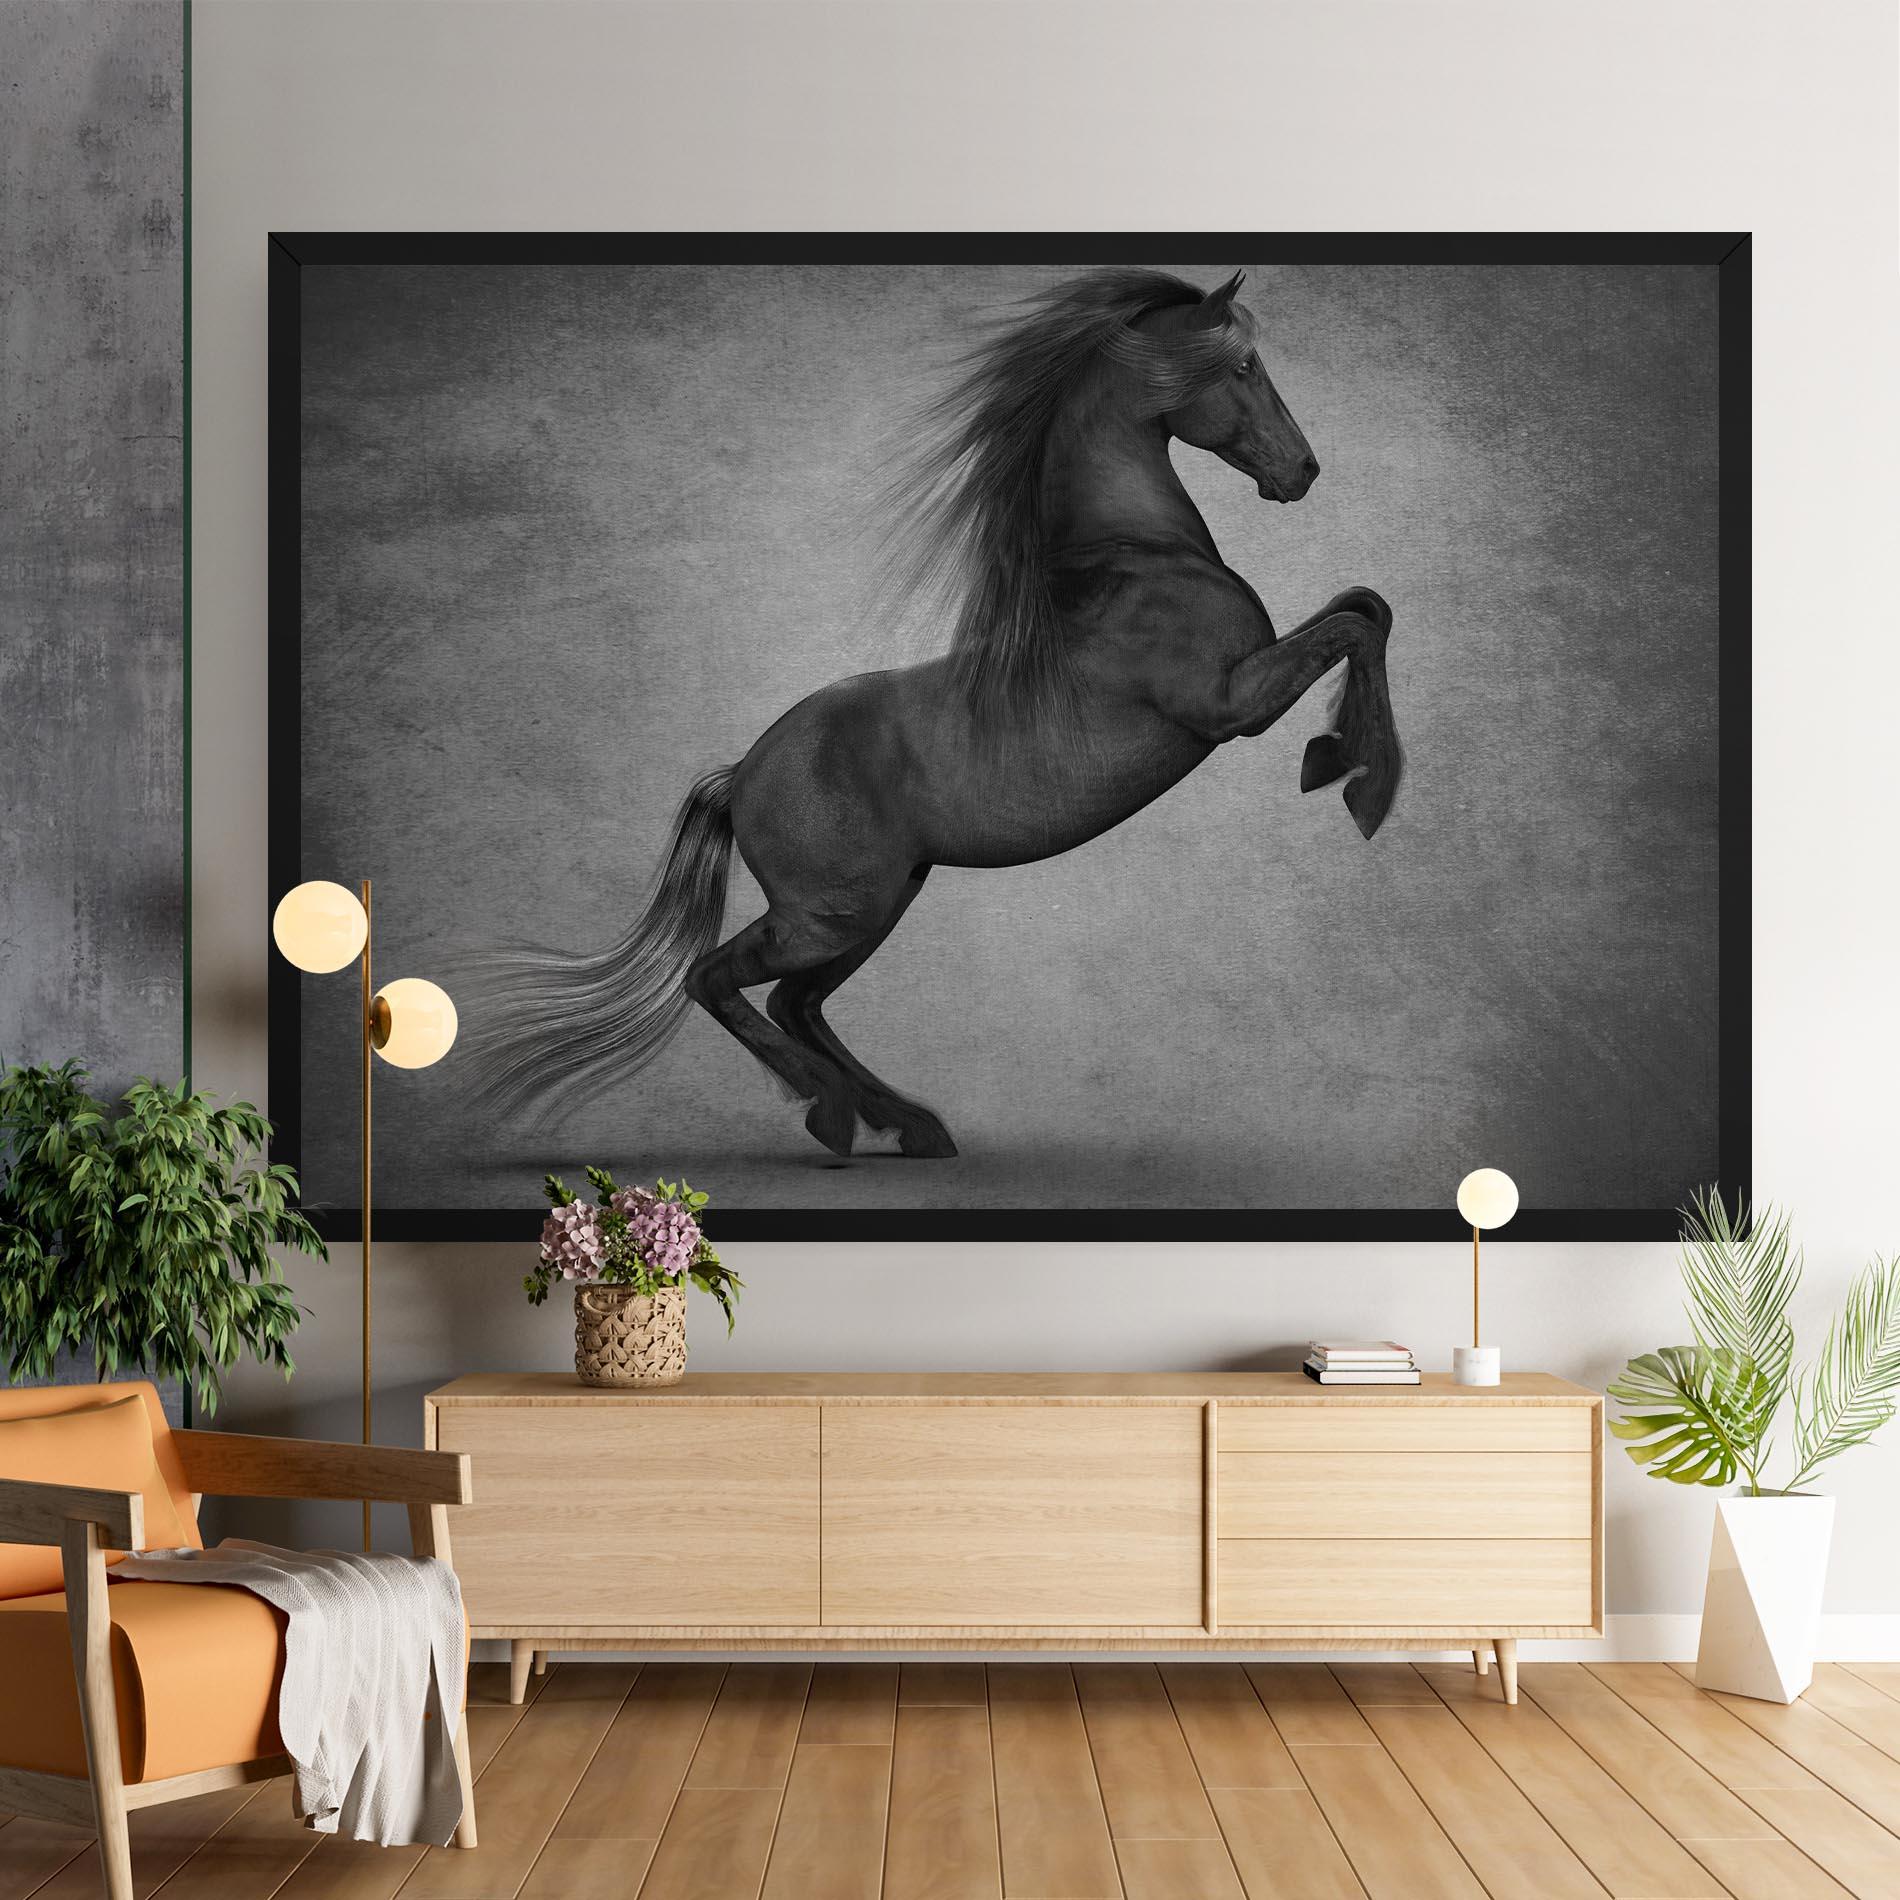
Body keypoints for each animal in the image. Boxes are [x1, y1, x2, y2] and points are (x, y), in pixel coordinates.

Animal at [472, 267, 1401, 1159]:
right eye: (1243, 367)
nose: (1304, 472)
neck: (1140, 559)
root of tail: (741, 776)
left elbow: (1366, 605)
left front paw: (1342, 756)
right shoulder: (1227, 705)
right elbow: (1355, 624)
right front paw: (1359, 783)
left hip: (874, 908)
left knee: (795, 1004)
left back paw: (907, 1126)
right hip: (832, 915)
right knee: (718, 980)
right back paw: (834, 1113)